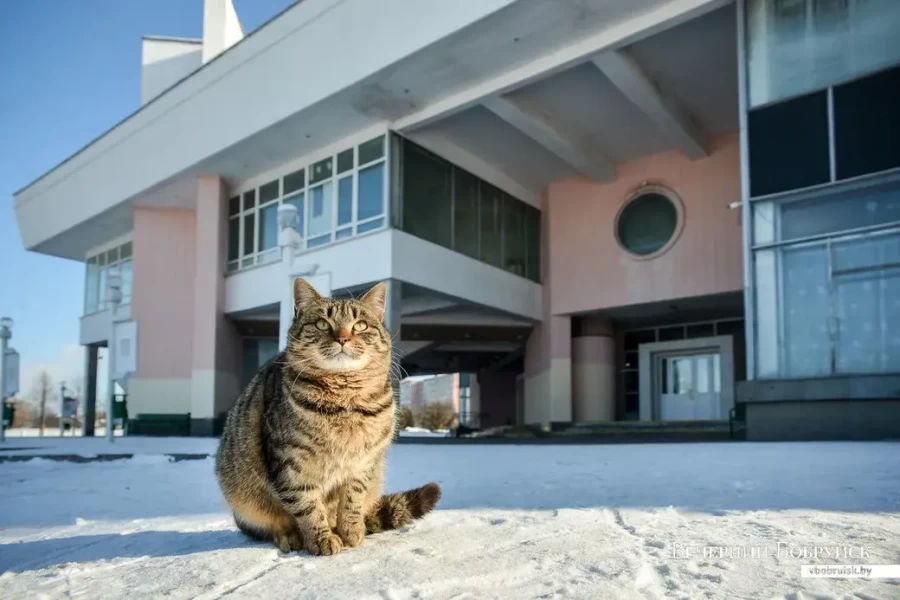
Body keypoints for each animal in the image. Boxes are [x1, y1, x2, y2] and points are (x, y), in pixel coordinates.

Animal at [218, 278, 442, 556]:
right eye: (323, 323)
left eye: (360, 325)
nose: (343, 338)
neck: (345, 403)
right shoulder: (291, 464)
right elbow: (308, 506)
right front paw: (321, 538)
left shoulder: (363, 464)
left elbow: (352, 500)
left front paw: (350, 530)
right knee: (269, 525)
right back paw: (288, 535)